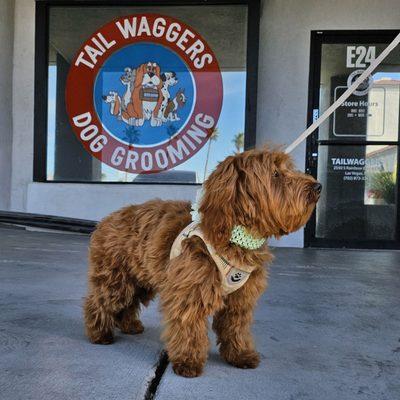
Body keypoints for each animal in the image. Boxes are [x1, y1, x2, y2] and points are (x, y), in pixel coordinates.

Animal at [84, 148, 322, 378]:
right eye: (275, 174)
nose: (318, 186)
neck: (236, 235)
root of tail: (106, 219)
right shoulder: (190, 292)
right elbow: (190, 327)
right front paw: (188, 361)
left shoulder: (240, 299)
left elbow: (236, 326)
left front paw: (240, 354)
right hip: (116, 278)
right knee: (99, 301)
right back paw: (99, 333)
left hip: (140, 279)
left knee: (129, 302)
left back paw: (129, 325)